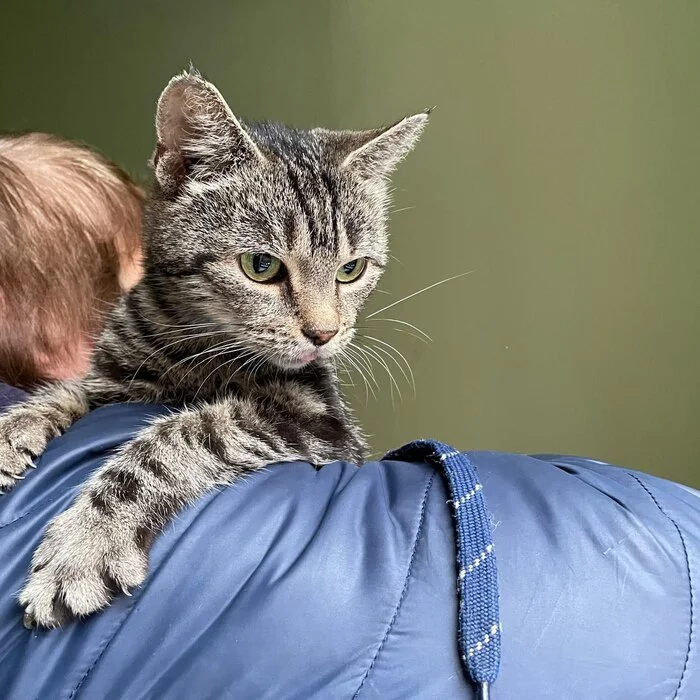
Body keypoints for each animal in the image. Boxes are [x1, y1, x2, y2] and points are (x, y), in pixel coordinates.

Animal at [0, 69, 426, 628]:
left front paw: (87, 544)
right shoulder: (115, 379)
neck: (188, 342)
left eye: (351, 270)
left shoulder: (321, 423)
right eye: (261, 267)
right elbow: (70, 389)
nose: (324, 334)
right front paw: (14, 427)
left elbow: (183, 435)